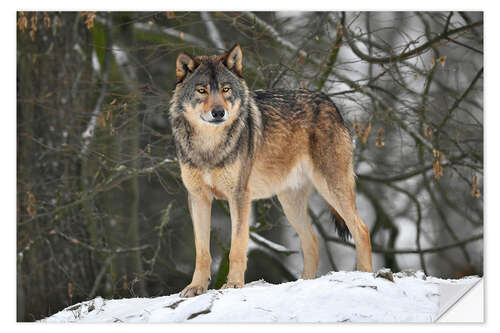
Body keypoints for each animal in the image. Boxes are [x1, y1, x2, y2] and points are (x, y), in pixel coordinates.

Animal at [170, 43, 374, 296]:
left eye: (226, 89)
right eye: (202, 90)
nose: (218, 112)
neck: (209, 147)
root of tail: (329, 102)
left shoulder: (239, 197)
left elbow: (237, 247)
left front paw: (234, 284)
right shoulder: (198, 198)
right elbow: (202, 252)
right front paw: (196, 287)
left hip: (331, 188)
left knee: (361, 229)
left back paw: (365, 275)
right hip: (290, 203)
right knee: (312, 241)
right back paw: (304, 283)